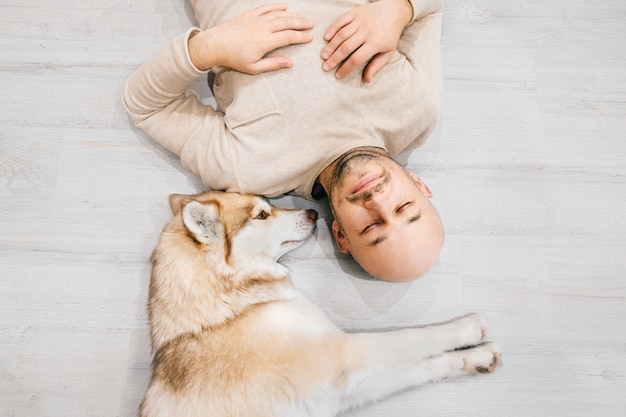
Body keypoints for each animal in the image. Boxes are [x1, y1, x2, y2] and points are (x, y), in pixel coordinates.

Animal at [139, 192, 500, 416]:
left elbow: (423, 367)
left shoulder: (345, 387)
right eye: (262, 214)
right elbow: (413, 336)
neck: (230, 307)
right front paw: (467, 328)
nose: (313, 211)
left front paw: (474, 359)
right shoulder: (345, 354)